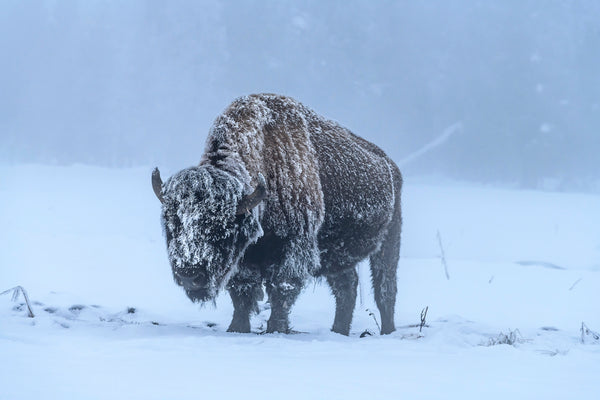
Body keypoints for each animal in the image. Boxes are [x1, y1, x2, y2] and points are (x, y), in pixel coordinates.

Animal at [151, 93, 404, 334]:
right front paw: (237, 328)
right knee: (347, 288)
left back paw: (386, 331)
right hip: (337, 254)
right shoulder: (244, 259)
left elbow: (281, 291)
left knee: (385, 289)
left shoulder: (292, 251)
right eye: (171, 222)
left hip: (390, 241)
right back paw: (338, 331)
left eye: (222, 226)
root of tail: (391, 166)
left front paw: (275, 329)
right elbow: (242, 293)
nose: (189, 274)